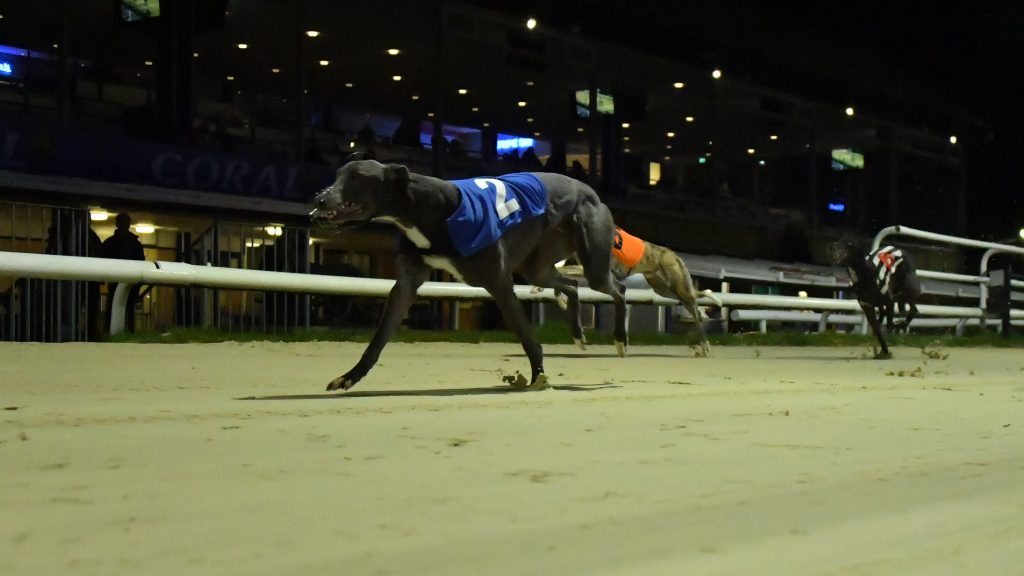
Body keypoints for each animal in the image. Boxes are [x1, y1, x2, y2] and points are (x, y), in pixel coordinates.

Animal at [310, 159, 628, 391]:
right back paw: (578, 334)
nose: (320, 199)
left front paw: (538, 378)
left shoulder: (498, 281)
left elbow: (528, 338)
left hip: (593, 262)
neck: (428, 207)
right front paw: (349, 377)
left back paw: (620, 340)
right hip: (537, 267)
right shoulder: (408, 282)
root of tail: (590, 191)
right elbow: (378, 339)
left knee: (619, 288)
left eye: (358, 176)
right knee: (572, 284)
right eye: (338, 174)